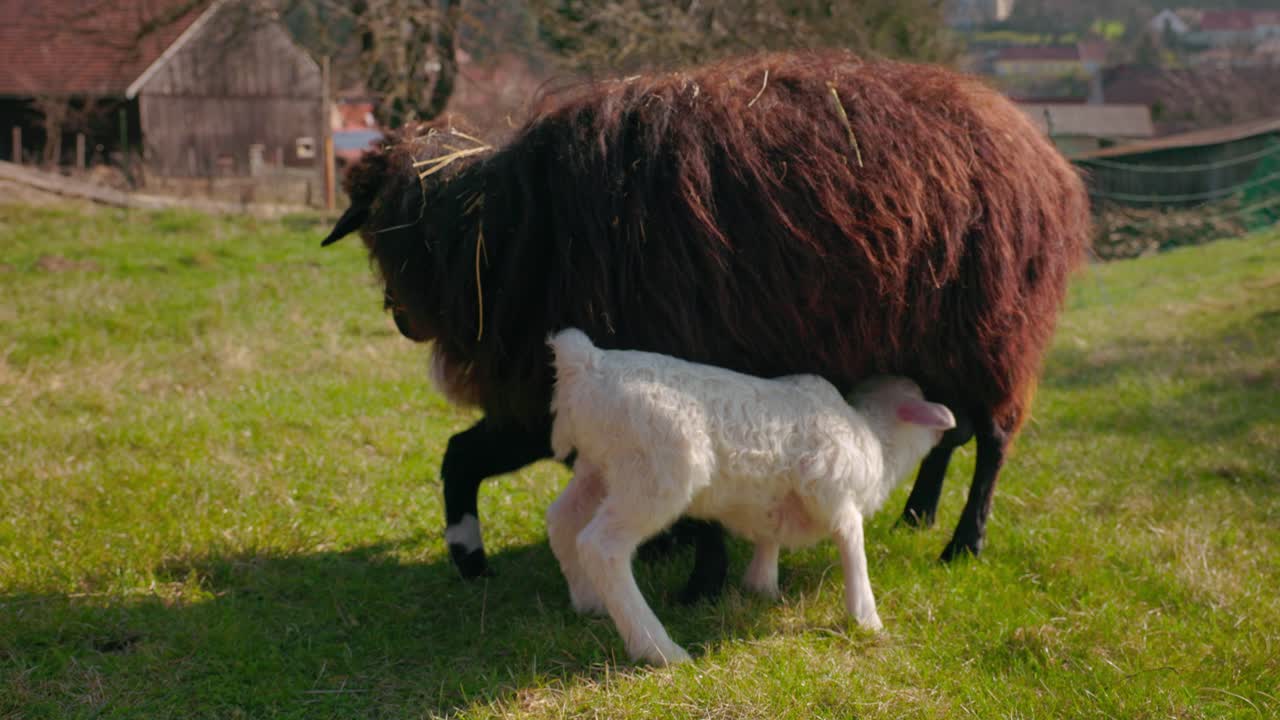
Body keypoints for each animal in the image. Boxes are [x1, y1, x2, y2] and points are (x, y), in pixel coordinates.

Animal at [320, 50, 1090, 595]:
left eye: (383, 231)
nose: (400, 320)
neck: (501, 235)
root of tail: (1041, 150)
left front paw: (699, 578)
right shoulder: (542, 397)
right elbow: (465, 453)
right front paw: (472, 556)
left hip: (994, 333)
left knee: (991, 439)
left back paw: (964, 543)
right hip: (933, 344)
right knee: (947, 430)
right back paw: (917, 514)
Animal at [546, 329, 955, 665]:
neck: (876, 439)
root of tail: (585, 362)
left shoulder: (775, 504)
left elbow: (769, 537)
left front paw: (762, 585)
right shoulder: (837, 495)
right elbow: (853, 548)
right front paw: (867, 619)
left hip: (600, 466)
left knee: (562, 519)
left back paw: (590, 603)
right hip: (656, 471)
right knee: (601, 545)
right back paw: (660, 650)